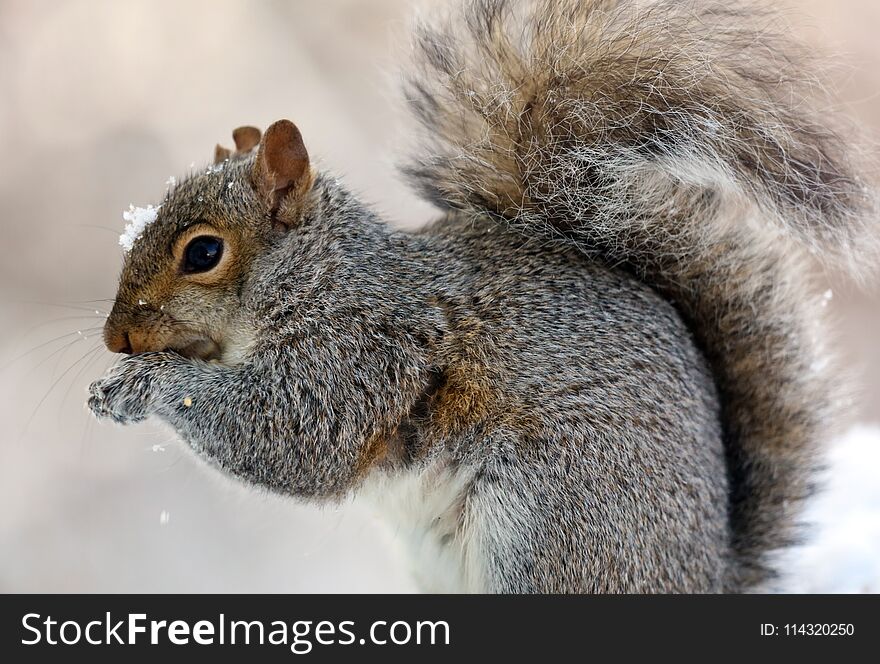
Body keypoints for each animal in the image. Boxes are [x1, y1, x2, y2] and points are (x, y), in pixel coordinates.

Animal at [87, 0, 872, 592]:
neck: (324, 279)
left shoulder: (369, 351)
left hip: (556, 525)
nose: (115, 338)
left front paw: (149, 385)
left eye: (204, 253)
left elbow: (290, 436)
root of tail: (703, 579)